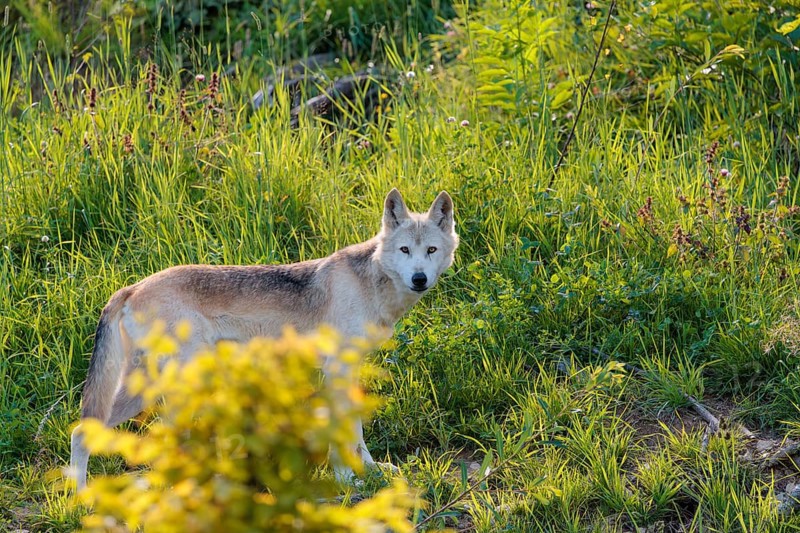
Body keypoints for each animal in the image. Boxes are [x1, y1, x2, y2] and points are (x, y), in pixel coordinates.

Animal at [69, 188, 458, 490]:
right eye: (405, 250)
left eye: (431, 251)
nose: (420, 279)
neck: (373, 285)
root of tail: (132, 287)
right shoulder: (336, 369)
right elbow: (344, 433)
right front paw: (347, 479)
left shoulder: (348, 369)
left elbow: (357, 433)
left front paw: (373, 470)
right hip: (178, 385)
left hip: (142, 388)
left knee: (81, 431)